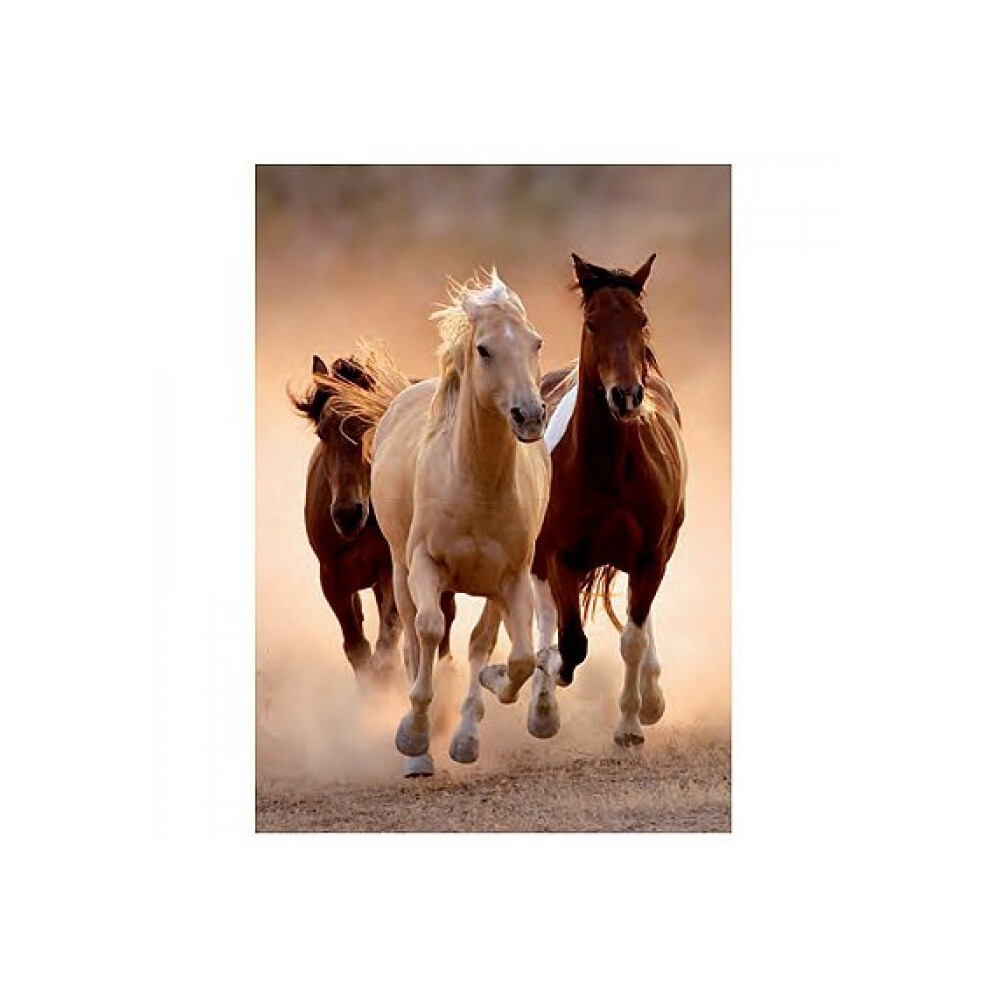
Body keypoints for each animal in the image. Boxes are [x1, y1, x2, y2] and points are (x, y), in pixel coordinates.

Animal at [290, 352, 455, 682]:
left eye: (371, 426)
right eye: (322, 432)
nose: (347, 514)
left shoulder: (391, 571)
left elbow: (387, 644)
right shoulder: (332, 578)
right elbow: (357, 648)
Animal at [326, 271, 550, 776]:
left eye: (536, 342)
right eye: (484, 349)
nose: (529, 416)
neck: (477, 486)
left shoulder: (511, 579)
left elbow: (517, 657)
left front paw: (487, 695)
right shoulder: (424, 565)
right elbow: (427, 633)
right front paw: (412, 736)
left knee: (478, 641)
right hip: (399, 570)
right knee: (413, 637)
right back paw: (420, 751)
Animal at [518, 252, 688, 747]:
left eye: (641, 319)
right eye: (592, 323)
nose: (626, 396)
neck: (610, 468)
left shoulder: (651, 556)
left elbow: (632, 637)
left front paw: (632, 722)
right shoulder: (560, 556)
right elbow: (570, 641)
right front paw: (551, 683)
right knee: (545, 618)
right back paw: (542, 706)